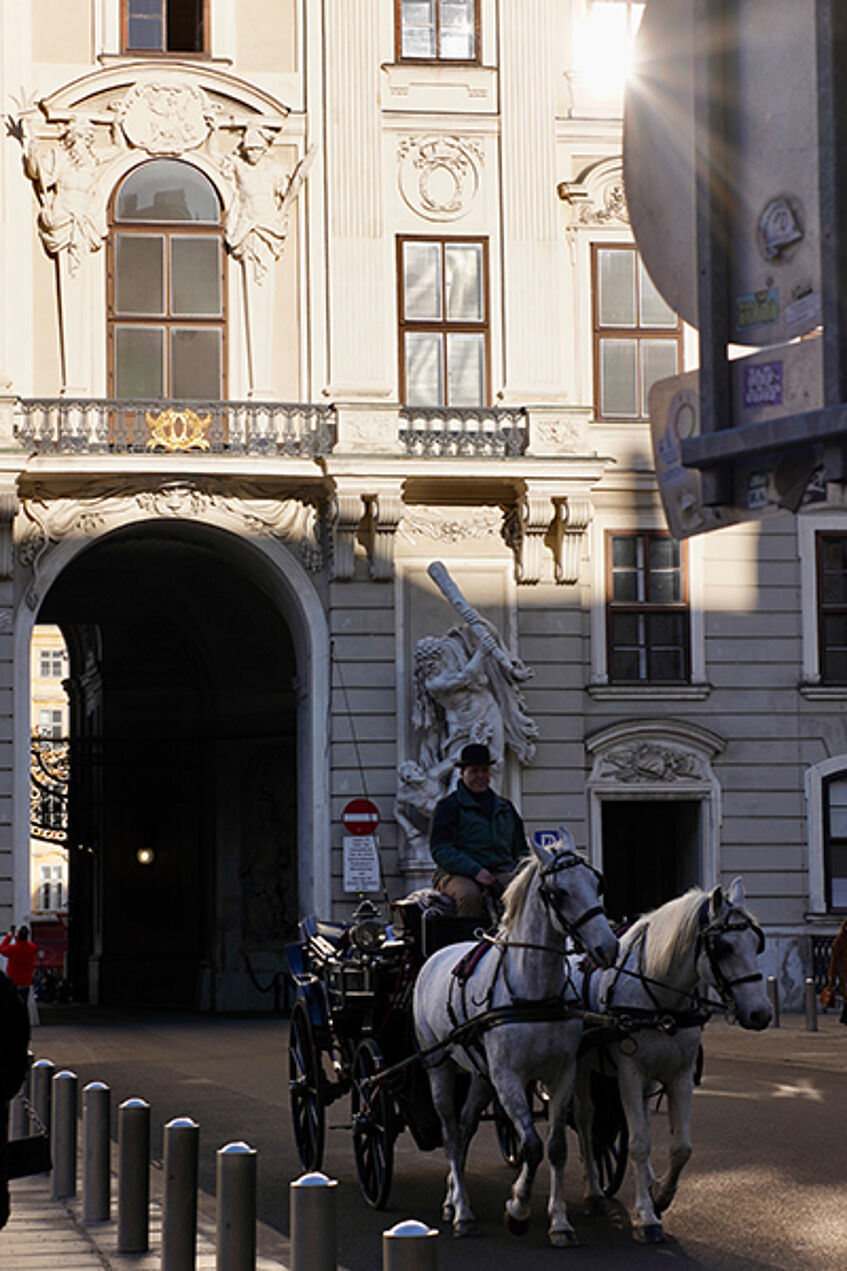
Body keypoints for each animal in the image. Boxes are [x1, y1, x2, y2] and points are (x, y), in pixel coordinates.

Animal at [409, 838, 612, 1245]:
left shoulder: (562, 1074)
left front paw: (560, 1222)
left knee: (466, 1126)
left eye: (596, 884)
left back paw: (454, 1198)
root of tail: (434, 956)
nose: (608, 947)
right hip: (439, 1066)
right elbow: (531, 1146)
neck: (534, 993)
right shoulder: (507, 1077)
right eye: (559, 892)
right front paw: (517, 1208)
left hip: (480, 1075)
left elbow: (556, 1147)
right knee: (450, 1131)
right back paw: (462, 1212)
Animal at [567, 874, 773, 1240]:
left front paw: (660, 1194)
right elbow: (638, 1142)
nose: (760, 1013)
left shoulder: (679, 1074)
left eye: (757, 943)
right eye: (723, 947)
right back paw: (593, 1191)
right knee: (586, 1120)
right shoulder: (630, 1073)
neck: (662, 1003)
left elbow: (681, 1148)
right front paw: (647, 1216)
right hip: (581, 1068)